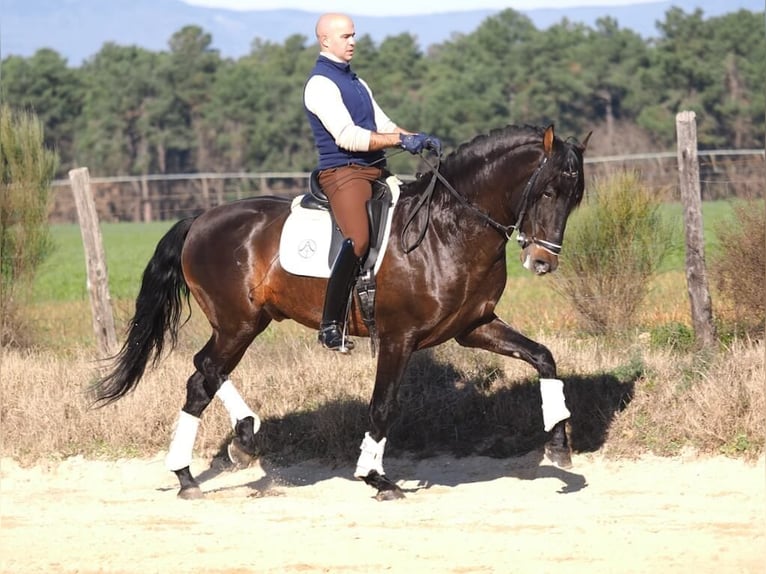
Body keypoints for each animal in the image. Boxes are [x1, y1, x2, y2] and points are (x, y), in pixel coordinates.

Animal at [93, 125, 592, 500]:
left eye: (574, 198)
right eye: (547, 191)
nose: (543, 262)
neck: (447, 229)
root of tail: (199, 220)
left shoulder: (474, 326)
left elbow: (543, 357)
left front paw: (558, 444)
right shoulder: (398, 337)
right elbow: (383, 406)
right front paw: (375, 477)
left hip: (248, 322)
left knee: (204, 375)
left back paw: (222, 452)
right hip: (238, 324)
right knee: (205, 374)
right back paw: (207, 460)